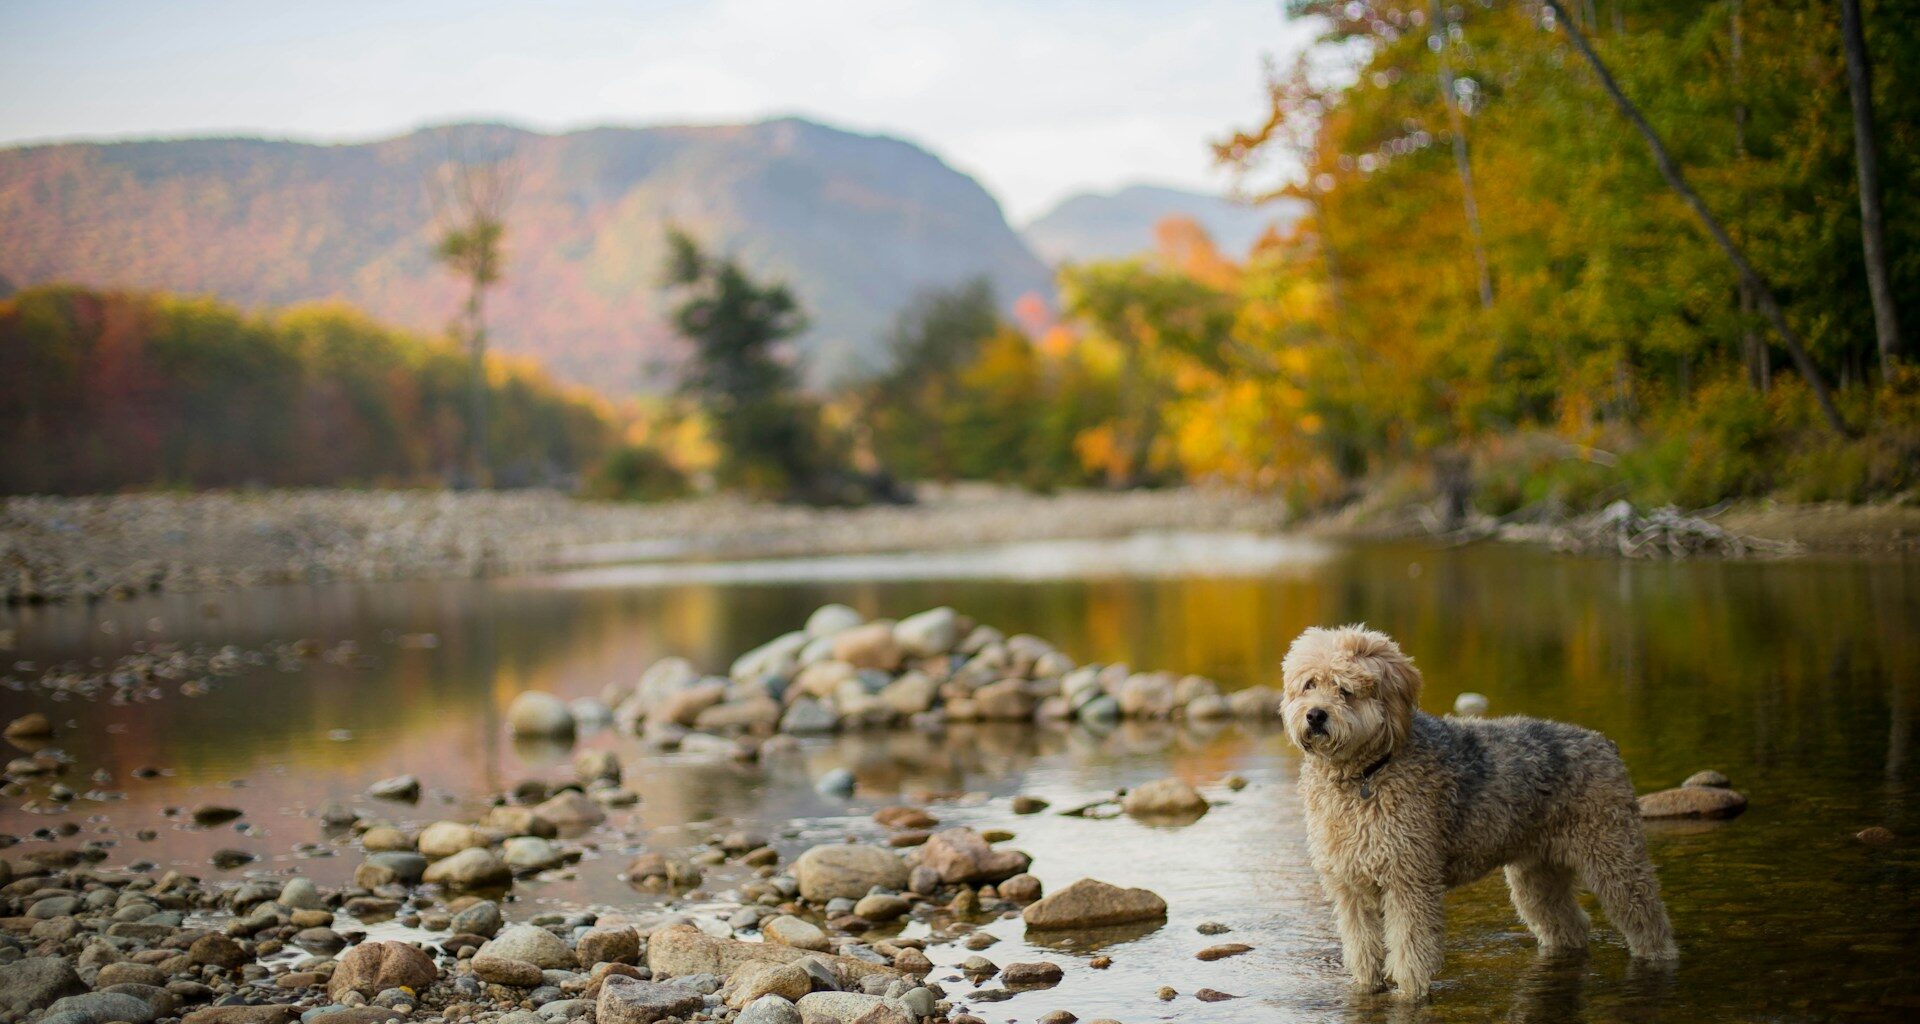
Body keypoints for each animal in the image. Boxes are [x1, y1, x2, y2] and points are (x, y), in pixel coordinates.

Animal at [1282, 622, 1674, 999]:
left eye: (1345, 689)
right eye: (1309, 684)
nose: (1315, 715)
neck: (1366, 774)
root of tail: (1605, 743)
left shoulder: (1409, 880)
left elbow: (1410, 949)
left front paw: (1409, 995)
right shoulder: (1351, 887)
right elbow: (1362, 949)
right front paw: (1365, 987)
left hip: (1615, 860)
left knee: (1649, 922)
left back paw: (1659, 957)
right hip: (1537, 877)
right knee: (1571, 926)